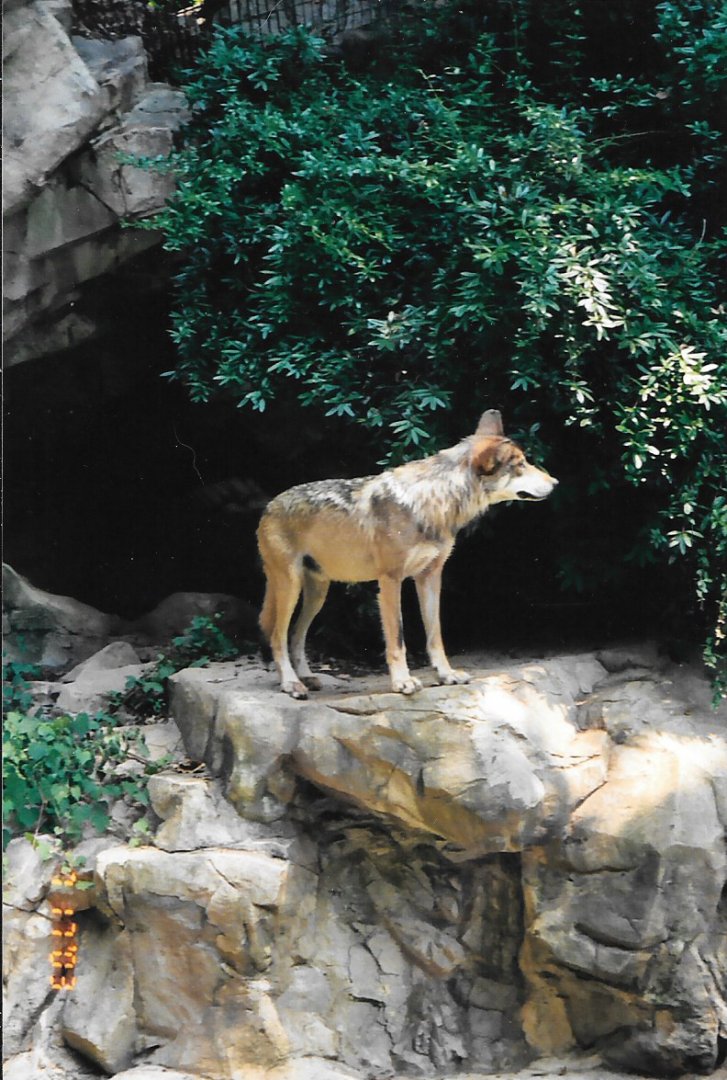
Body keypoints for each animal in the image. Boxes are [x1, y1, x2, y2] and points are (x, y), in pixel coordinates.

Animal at [257, 409, 558, 698]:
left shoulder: (430, 577)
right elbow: (398, 638)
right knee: (277, 636)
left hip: (317, 594)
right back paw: (291, 684)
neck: (433, 501)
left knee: (295, 635)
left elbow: (435, 636)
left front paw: (446, 675)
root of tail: (269, 507)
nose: (555, 482)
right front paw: (402, 682)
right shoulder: (391, 580)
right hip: (291, 588)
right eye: (520, 465)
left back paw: (305, 678)